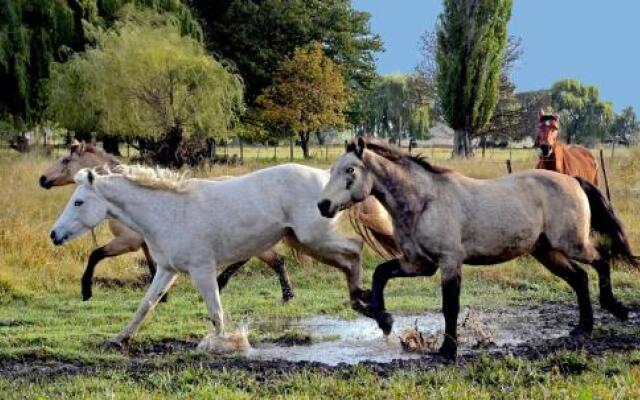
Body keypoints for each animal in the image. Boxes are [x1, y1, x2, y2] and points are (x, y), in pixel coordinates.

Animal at [41, 141, 296, 304]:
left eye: (65, 159)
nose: (42, 179)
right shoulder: (149, 245)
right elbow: (154, 269)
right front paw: (162, 297)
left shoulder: (128, 242)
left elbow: (95, 255)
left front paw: (86, 291)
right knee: (273, 259)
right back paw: (285, 294)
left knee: (265, 259)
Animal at [51, 164, 380, 348]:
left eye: (78, 202)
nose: (54, 235)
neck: (168, 212)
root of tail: (325, 176)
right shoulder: (167, 270)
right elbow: (146, 305)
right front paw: (119, 339)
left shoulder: (202, 270)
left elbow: (216, 312)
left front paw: (223, 344)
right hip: (304, 241)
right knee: (348, 256)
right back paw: (362, 301)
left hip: (314, 239)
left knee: (355, 248)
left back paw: (364, 300)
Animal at [318, 138, 636, 360]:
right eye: (332, 170)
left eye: (350, 170)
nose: (323, 205)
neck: (424, 201)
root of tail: (574, 180)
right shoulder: (418, 263)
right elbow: (381, 274)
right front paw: (383, 319)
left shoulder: (449, 262)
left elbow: (450, 306)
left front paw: (447, 351)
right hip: (547, 252)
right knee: (579, 278)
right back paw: (582, 328)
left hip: (571, 244)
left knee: (601, 261)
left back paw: (615, 309)